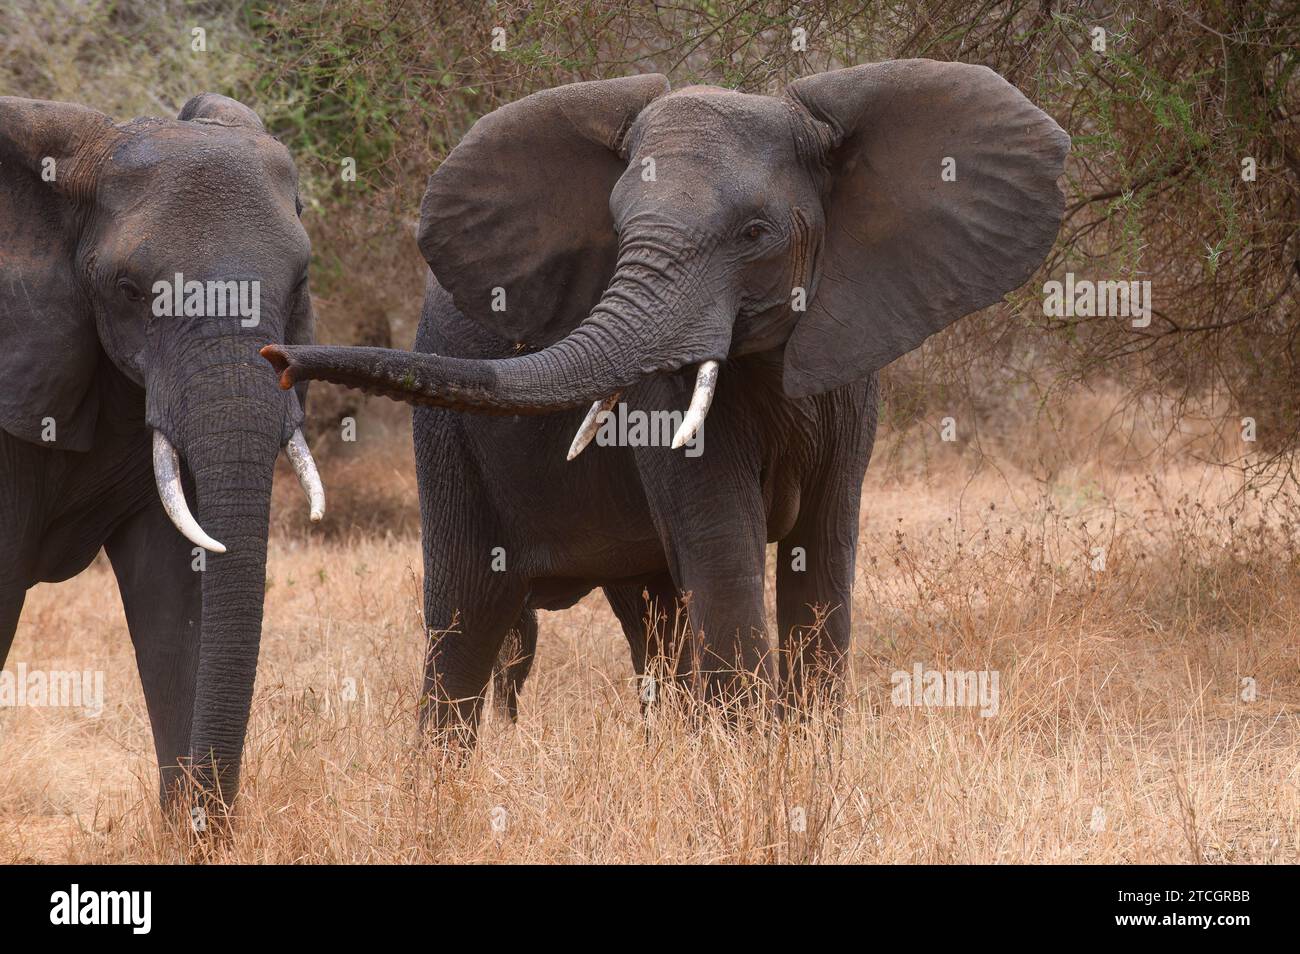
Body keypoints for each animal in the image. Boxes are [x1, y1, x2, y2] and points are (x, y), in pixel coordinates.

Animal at [263, 61, 1066, 738]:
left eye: (755, 232)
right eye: (618, 233)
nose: (278, 361)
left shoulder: (845, 364)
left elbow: (822, 559)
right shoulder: (661, 390)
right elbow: (724, 556)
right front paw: (755, 780)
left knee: (650, 623)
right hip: (450, 443)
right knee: (468, 618)